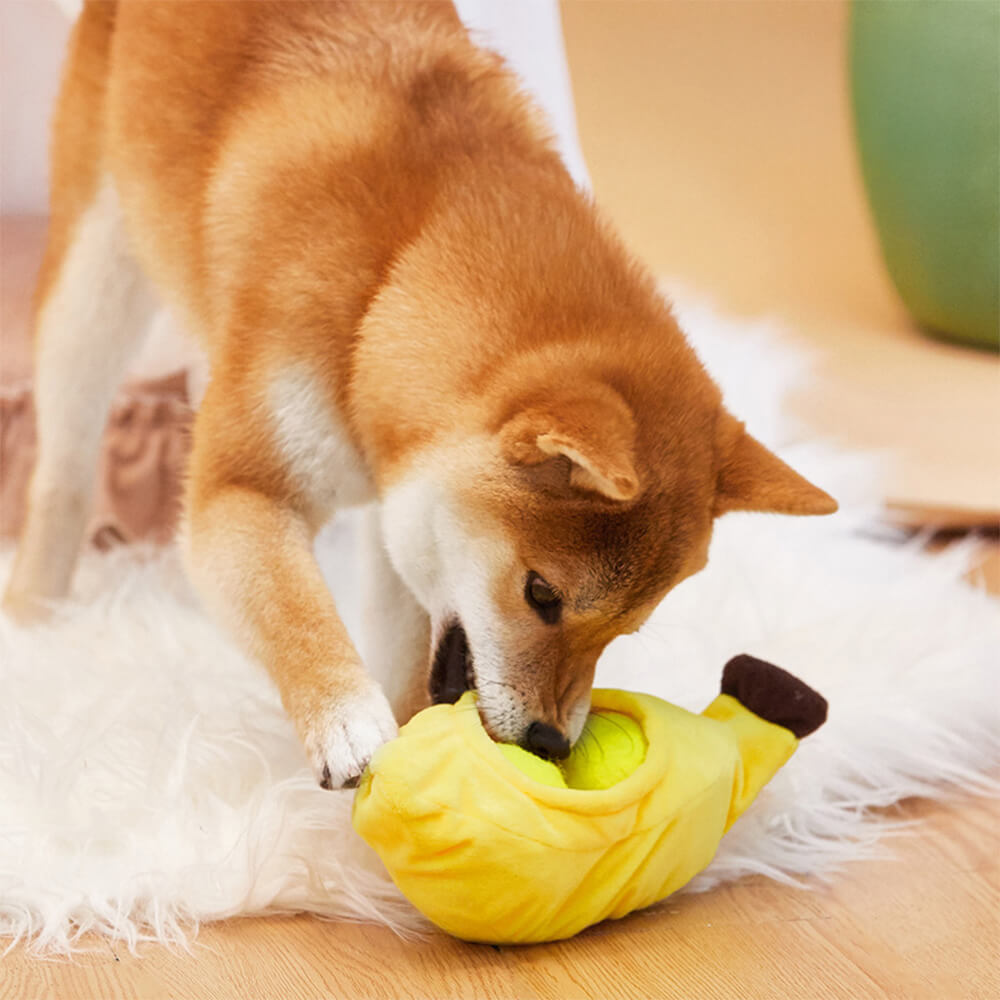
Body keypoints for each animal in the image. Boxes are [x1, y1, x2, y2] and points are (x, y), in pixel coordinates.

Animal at [5, 3, 836, 788]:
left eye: (624, 631)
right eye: (541, 594)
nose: (551, 742)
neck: (398, 263)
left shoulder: (400, 508)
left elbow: (402, 642)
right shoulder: (240, 493)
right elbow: (295, 611)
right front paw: (348, 722)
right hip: (94, 282)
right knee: (63, 471)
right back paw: (36, 619)